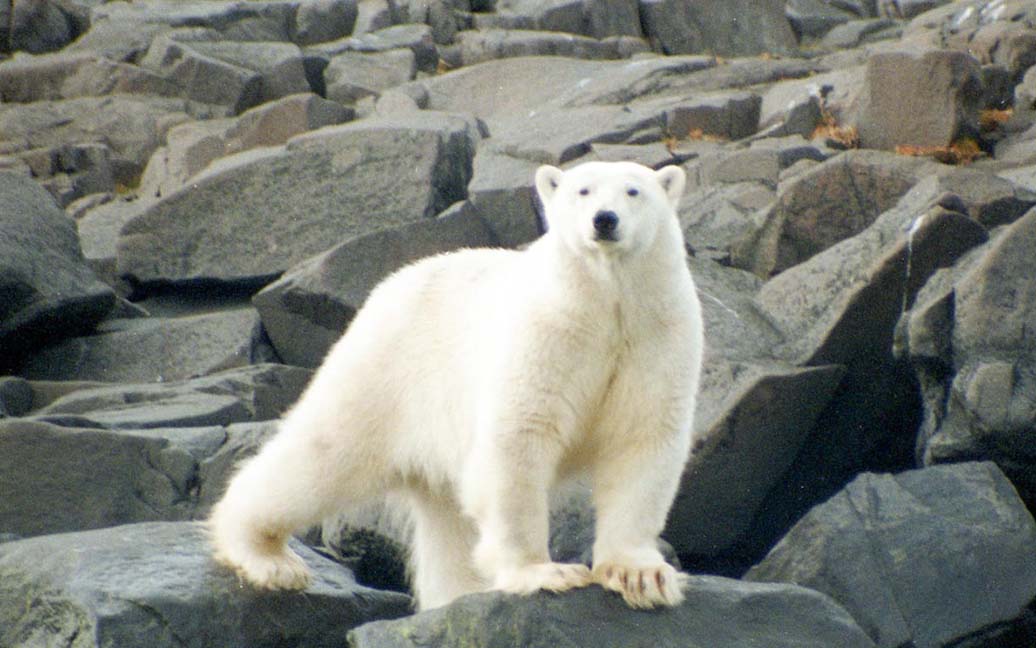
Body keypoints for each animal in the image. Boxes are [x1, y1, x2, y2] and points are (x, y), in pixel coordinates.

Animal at [214, 159, 708, 609]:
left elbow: (642, 439)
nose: (604, 220)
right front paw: (543, 571)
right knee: (322, 456)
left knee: (446, 525)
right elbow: (518, 437)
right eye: (582, 191)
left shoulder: (656, 336)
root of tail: (386, 287)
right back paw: (266, 557)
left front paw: (640, 575)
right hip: (386, 372)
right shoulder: (545, 334)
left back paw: (457, 595)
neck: (607, 301)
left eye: (633, 191)